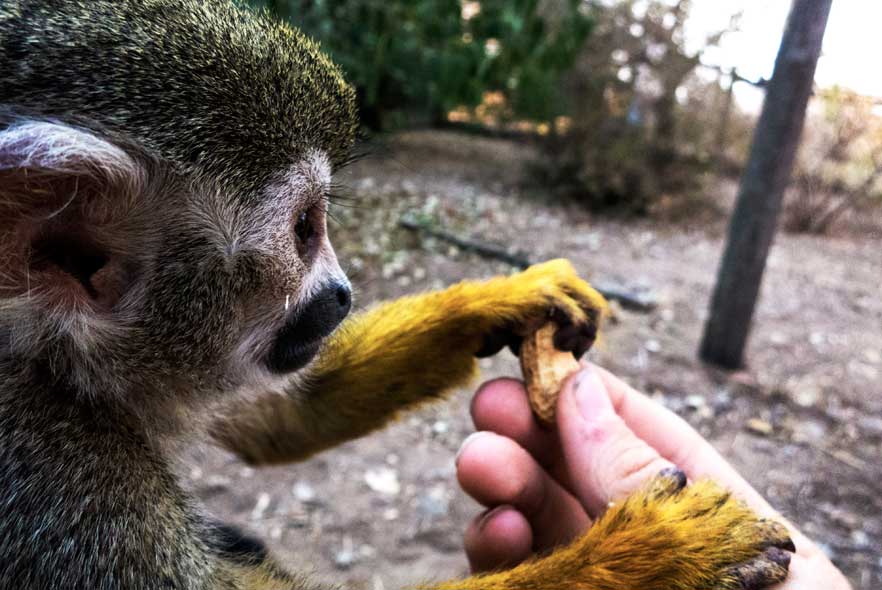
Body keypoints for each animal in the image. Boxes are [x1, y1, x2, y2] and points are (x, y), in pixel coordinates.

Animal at [0, 1, 796, 590]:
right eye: (304, 230)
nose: (340, 295)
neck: (49, 362)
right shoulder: (51, 479)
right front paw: (660, 552)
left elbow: (283, 413)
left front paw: (501, 297)